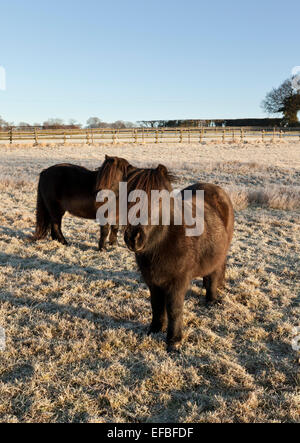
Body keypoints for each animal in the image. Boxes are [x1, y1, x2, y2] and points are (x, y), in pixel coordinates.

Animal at [124, 166, 234, 354]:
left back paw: (212, 298)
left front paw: (174, 341)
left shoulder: (178, 281)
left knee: (216, 272)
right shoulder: (153, 281)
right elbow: (156, 305)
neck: (162, 241)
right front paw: (155, 329)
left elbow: (174, 309)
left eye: (158, 199)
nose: (133, 238)